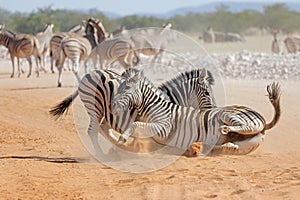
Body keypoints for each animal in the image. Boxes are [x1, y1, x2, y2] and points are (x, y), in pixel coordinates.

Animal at [48, 69, 218, 155]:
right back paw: (102, 154)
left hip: (105, 113)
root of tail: (90, 73)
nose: (213, 112)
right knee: (93, 130)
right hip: (94, 107)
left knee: (104, 128)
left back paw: (118, 147)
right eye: (207, 93)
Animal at [110, 69, 282, 156]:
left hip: (228, 115)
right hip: (244, 144)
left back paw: (224, 129)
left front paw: (122, 139)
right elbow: (137, 127)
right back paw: (198, 148)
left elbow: (135, 124)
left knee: (243, 127)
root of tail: (263, 121)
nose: (112, 105)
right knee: (228, 147)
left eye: (126, 89)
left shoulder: (164, 128)